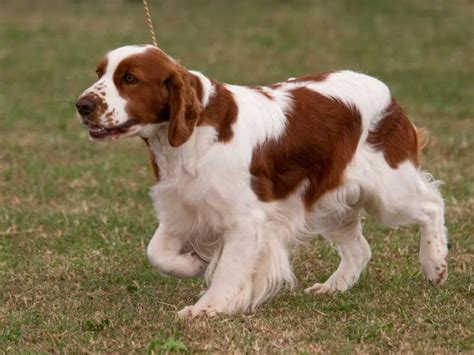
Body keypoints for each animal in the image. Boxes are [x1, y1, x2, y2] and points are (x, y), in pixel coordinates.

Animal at [75, 45, 448, 320]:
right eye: (99, 74)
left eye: (129, 78)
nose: (82, 105)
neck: (189, 137)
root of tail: (385, 92)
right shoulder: (183, 208)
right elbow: (157, 253)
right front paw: (194, 264)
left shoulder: (246, 220)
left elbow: (228, 270)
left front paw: (206, 308)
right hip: (330, 200)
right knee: (360, 249)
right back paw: (333, 287)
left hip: (389, 191)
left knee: (432, 205)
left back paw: (435, 264)